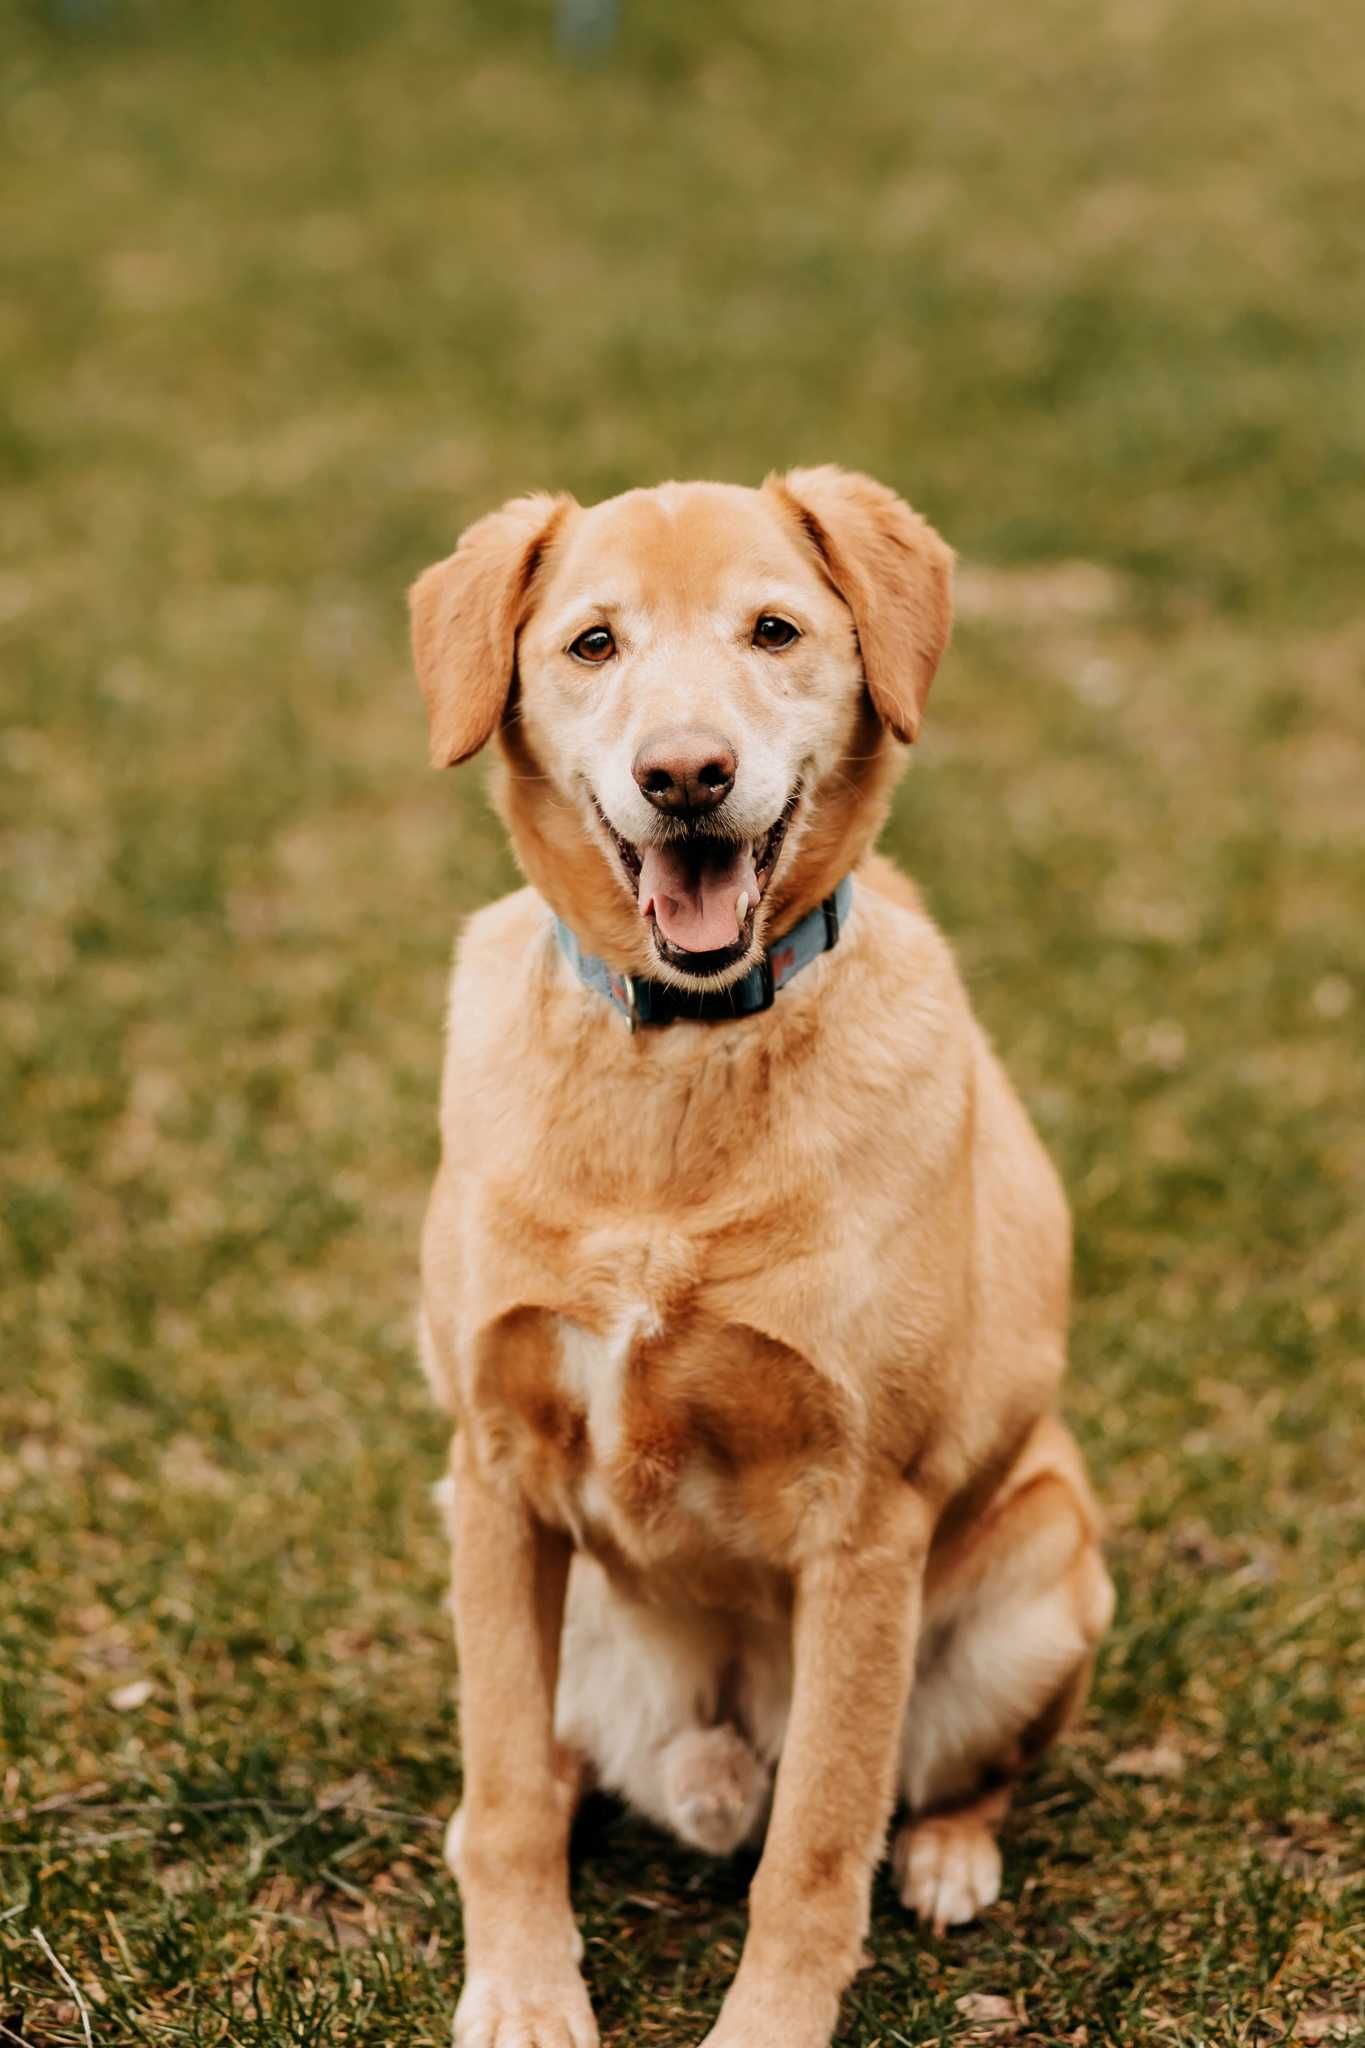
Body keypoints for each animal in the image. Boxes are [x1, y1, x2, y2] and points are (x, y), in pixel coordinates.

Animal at [411, 468, 1113, 2048]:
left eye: (774, 630)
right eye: (593, 642)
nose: (685, 774)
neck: (679, 1056)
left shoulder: (866, 1523)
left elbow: (819, 1845)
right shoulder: (495, 1465)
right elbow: (504, 1790)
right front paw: (524, 1988)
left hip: (1047, 1579)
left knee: (932, 1785)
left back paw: (949, 1855)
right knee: (533, 1773)